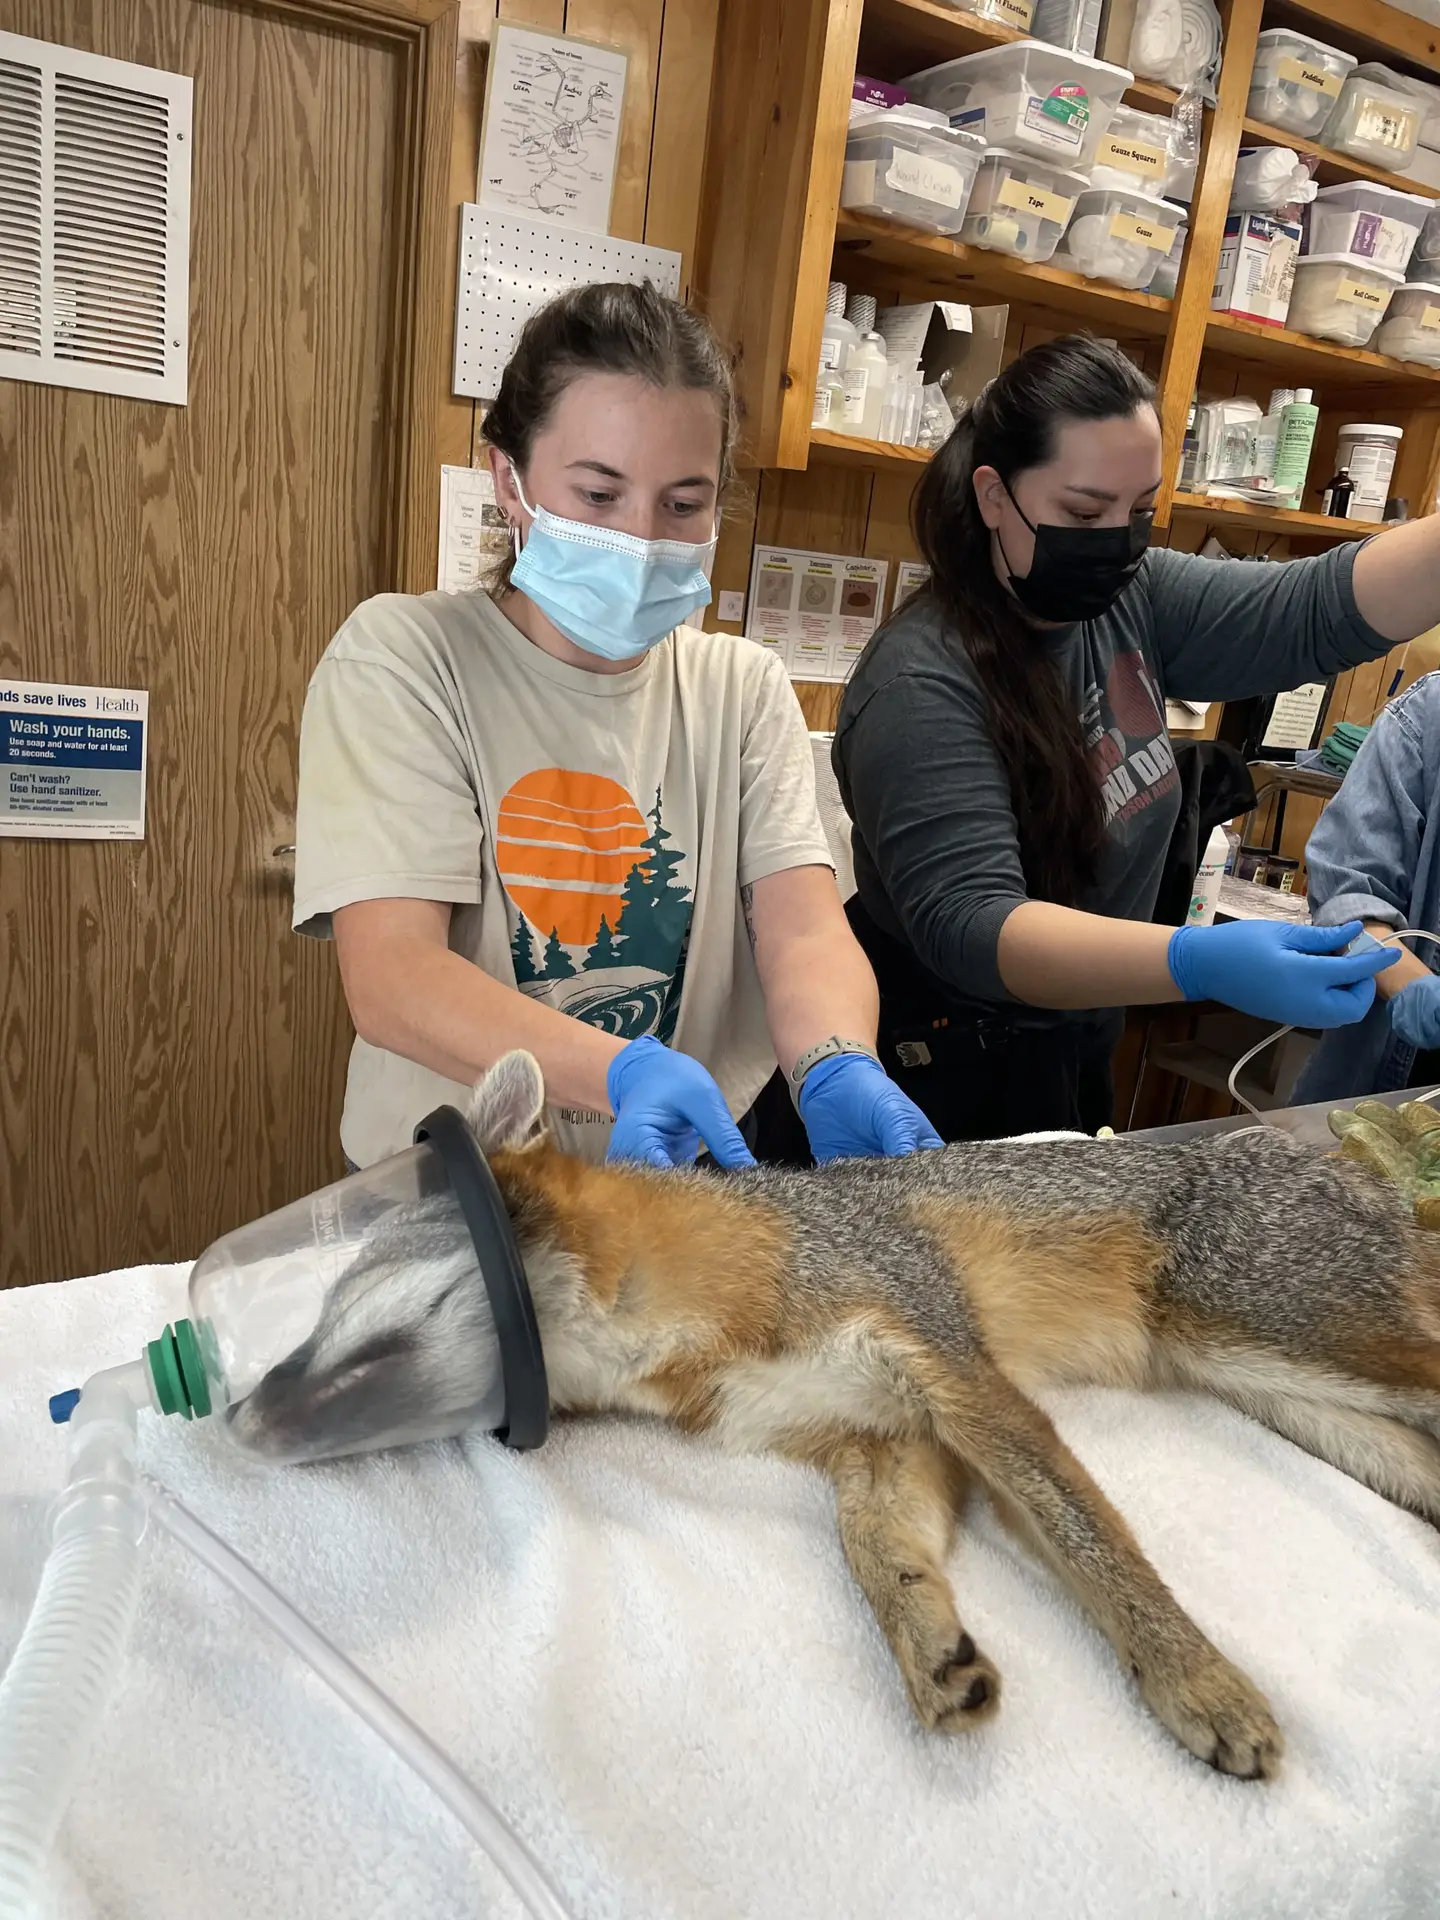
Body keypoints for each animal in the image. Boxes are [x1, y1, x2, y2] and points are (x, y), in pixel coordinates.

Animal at [233, 1050, 1440, 1781]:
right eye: (315, 1327)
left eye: (390, 1340)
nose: (240, 1420)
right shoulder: (879, 1435)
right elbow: (872, 1549)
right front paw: (931, 1648)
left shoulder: (956, 1375)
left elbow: (1093, 1539)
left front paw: (1195, 1677)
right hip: (1296, 1392)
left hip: (1297, 1343)